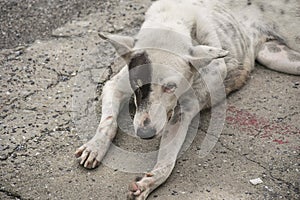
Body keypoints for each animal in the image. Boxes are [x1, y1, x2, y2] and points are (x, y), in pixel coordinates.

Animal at [75, 0, 300, 199]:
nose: (145, 134)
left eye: (170, 87)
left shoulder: (184, 111)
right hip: (274, 55)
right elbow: (108, 122)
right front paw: (95, 146)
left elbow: (167, 161)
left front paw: (150, 181)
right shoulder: (115, 86)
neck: (173, 19)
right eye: (138, 83)